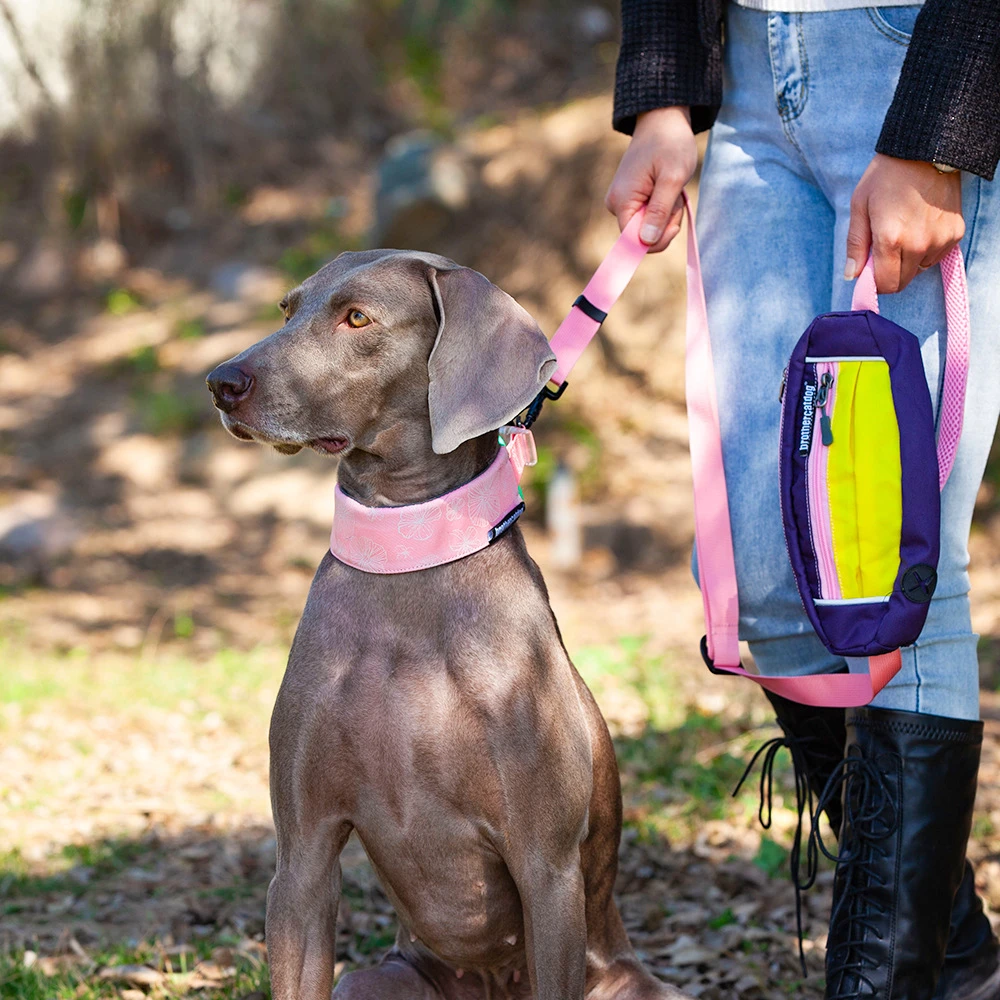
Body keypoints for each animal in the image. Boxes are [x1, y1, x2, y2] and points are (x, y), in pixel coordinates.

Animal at [203, 252, 688, 1000]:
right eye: (287, 309)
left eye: (357, 318)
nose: (222, 382)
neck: (408, 556)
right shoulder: (302, 858)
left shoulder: (546, 867)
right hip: (376, 979)